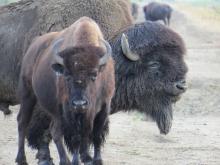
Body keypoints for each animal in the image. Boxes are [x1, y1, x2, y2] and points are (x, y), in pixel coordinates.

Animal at [15, 16, 115, 165]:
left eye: (94, 75)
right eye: (67, 75)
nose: (79, 103)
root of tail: (33, 46)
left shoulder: (103, 106)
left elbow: (94, 134)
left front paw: (95, 159)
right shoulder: (69, 109)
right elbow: (76, 137)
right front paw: (76, 161)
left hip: (55, 111)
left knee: (54, 130)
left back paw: (64, 159)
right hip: (28, 94)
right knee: (23, 122)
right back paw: (21, 159)